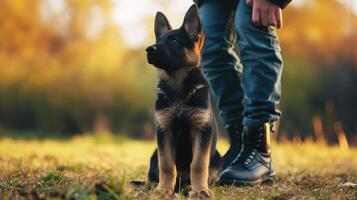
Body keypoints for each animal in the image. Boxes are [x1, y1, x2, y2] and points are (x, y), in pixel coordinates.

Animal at [145, 4, 220, 198]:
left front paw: (200, 190)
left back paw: (189, 187)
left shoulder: (201, 130)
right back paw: (156, 185)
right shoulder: (164, 130)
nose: (149, 49)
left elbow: (199, 164)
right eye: (159, 40)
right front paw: (164, 189)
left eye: (173, 40)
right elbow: (166, 165)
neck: (177, 84)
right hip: (154, 154)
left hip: (217, 159)